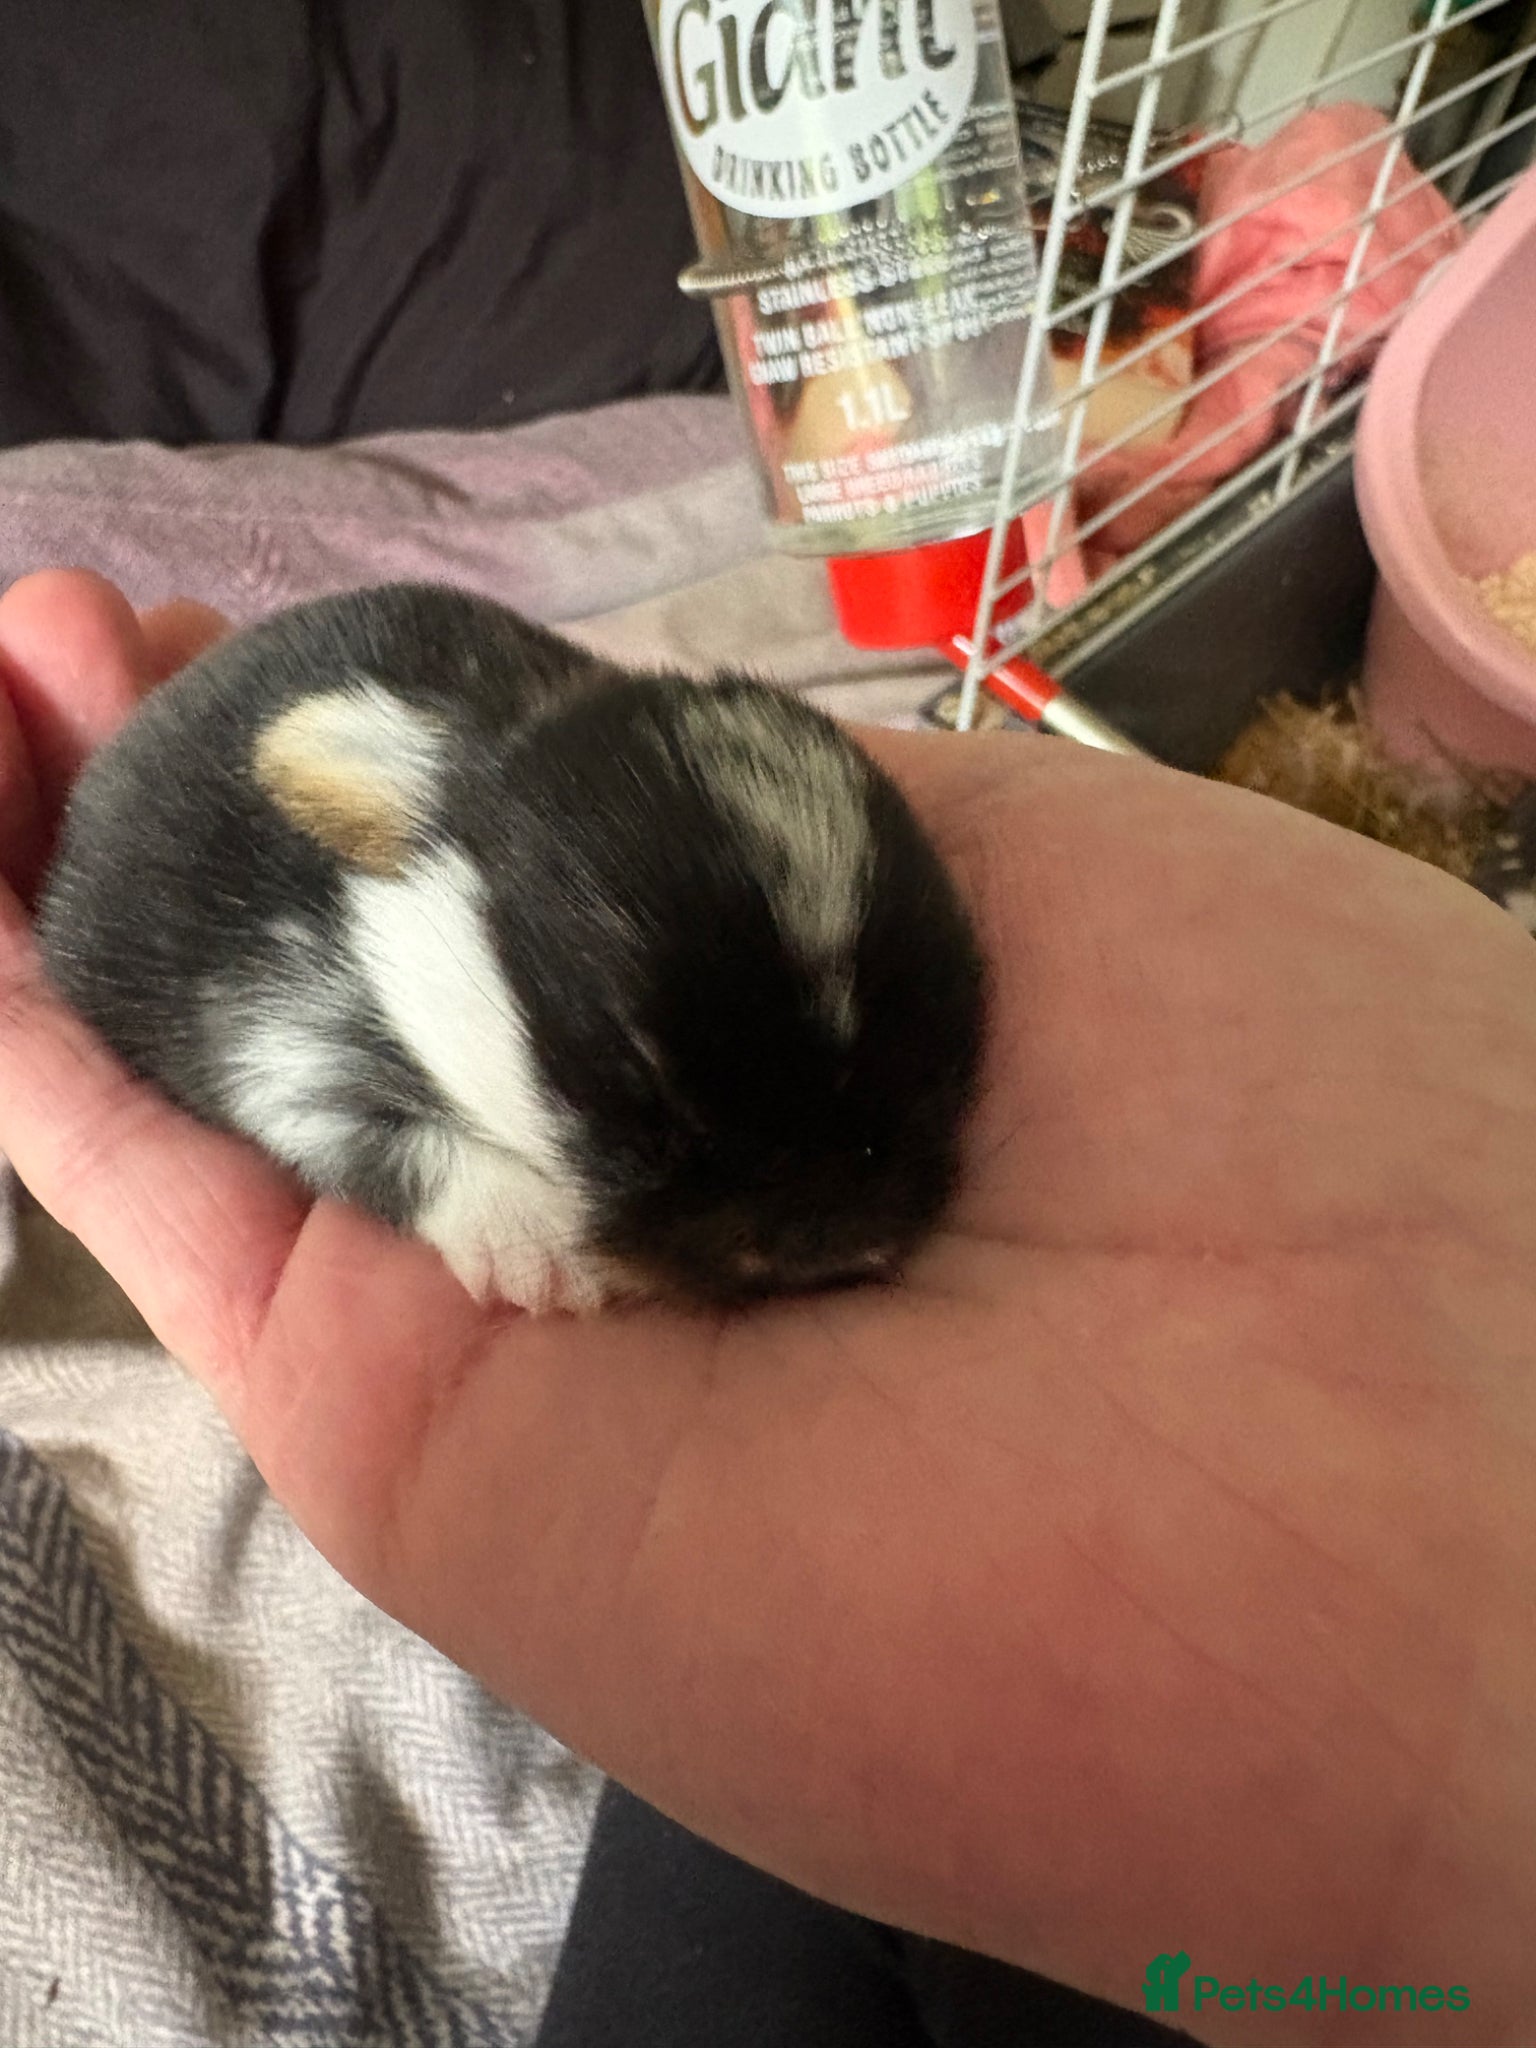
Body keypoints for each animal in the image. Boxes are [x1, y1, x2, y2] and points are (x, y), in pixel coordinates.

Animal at [37, 582, 987, 1313]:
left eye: (940, 1062)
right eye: (639, 1077)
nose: (832, 1236)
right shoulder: (280, 1049)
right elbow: (395, 1146)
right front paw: (541, 1254)